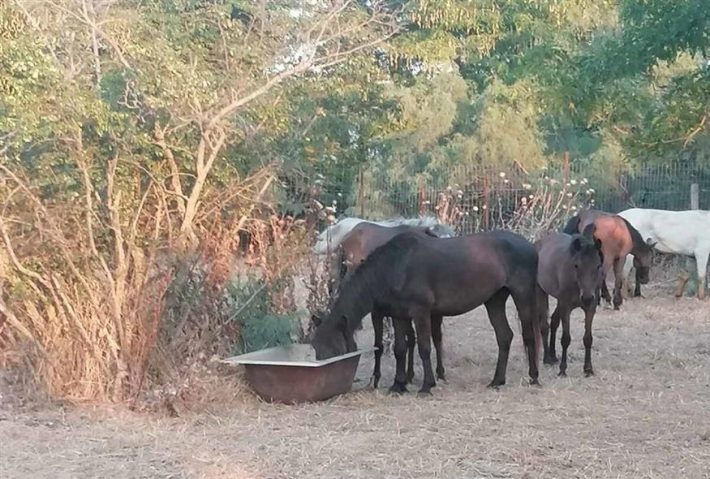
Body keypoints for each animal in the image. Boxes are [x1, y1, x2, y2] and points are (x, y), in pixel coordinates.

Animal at [314, 231, 544, 396]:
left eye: (333, 348)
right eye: (316, 347)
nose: (326, 374)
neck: (397, 266)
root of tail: (531, 246)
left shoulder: (421, 312)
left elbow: (424, 347)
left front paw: (426, 386)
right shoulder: (398, 315)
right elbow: (400, 349)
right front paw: (398, 385)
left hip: (522, 296)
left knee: (528, 335)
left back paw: (534, 377)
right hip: (494, 300)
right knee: (504, 336)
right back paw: (497, 381)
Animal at [540, 226, 608, 378]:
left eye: (598, 266)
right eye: (576, 265)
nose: (587, 298)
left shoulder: (590, 308)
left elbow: (588, 338)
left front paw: (588, 369)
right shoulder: (566, 307)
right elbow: (566, 339)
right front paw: (562, 369)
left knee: (554, 321)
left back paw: (553, 356)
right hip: (542, 293)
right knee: (544, 325)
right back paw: (547, 358)